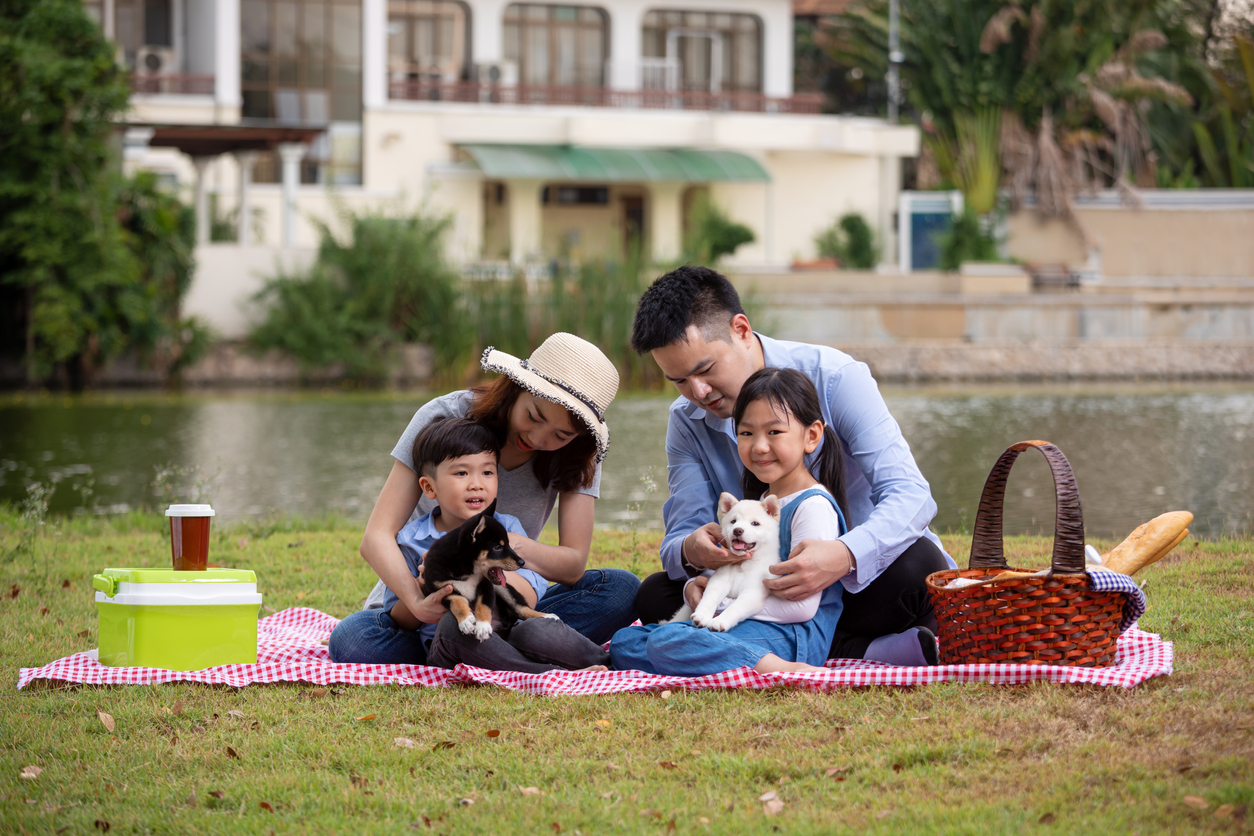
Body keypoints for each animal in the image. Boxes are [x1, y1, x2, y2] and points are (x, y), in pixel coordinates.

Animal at [418, 501, 556, 646]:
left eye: (508, 544)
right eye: (497, 547)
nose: (522, 562)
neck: (467, 572)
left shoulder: (486, 586)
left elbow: (483, 606)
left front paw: (483, 627)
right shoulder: (441, 590)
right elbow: (458, 603)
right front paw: (466, 621)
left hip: (504, 589)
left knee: (522, 610)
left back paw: (547, 616)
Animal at [672, 493, 777, 631]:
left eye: (755, 523)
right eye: (733, 521)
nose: (737, 530)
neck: (743, 565)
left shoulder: (752, 593)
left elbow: (735, 607)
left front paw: (719, 621)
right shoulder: (719, 581)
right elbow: (709, 598)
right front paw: (702, 615)